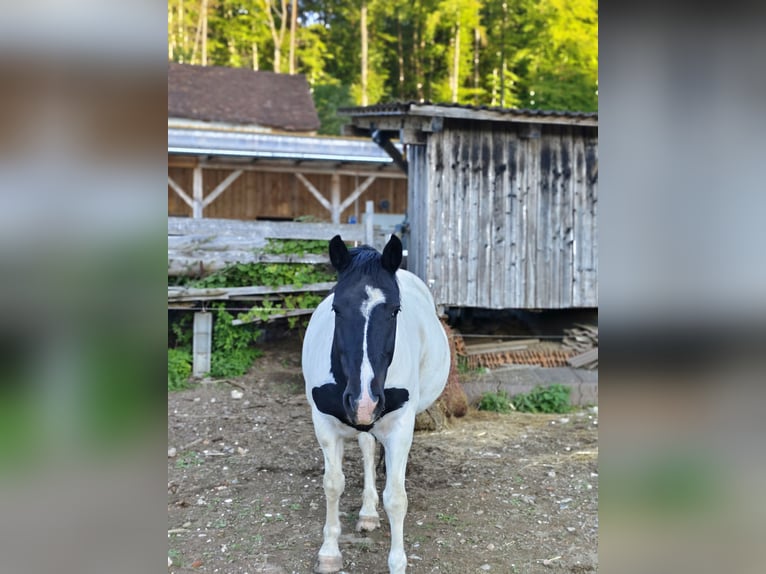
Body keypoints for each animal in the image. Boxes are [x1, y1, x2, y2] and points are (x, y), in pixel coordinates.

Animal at [302, 234, 450, 574]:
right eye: (336, 308)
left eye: (395, 310)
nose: (364, 401)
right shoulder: (324, 424)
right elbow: (333, 484)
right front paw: (329, 552)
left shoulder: (400, 427)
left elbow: (396, 498)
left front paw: (397, 563)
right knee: (367, 448)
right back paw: (368, 512)